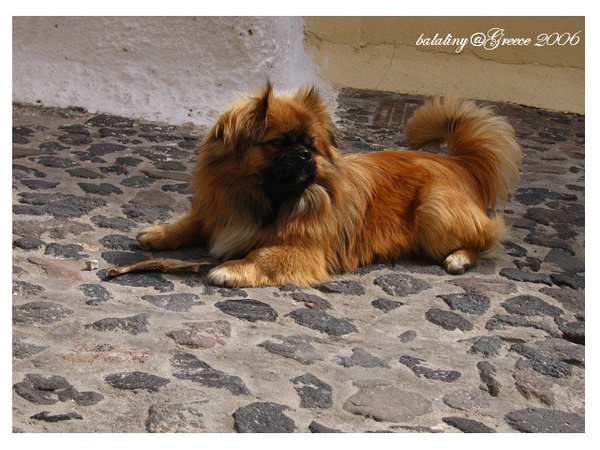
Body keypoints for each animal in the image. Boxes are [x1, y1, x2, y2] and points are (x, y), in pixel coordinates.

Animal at [109, 83, 522, 287]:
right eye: (280, 143)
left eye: (311, 145)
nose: (306, 155)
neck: (270, 198)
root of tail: (458, 163)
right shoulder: (218, 210)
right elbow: (192, 222)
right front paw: (160, 233)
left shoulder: (305, 250)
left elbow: (263, 256)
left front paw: (231, 269)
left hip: (433, 208)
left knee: (484, 239)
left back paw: (458, 258)